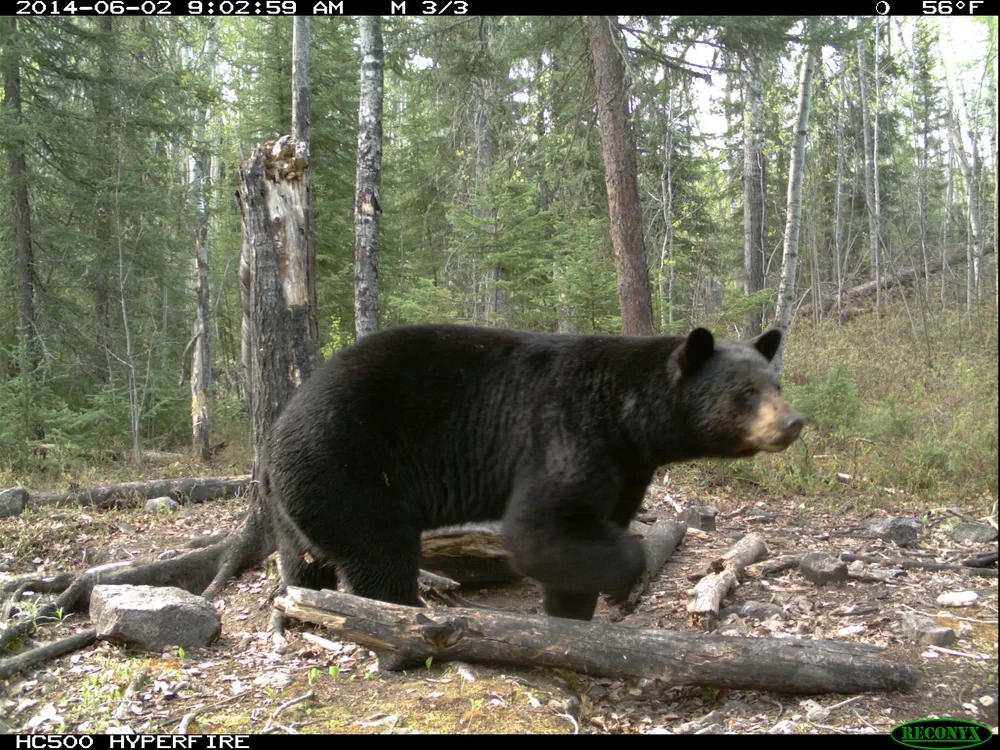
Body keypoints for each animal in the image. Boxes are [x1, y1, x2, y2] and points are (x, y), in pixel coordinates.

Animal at [263, 324, 802, 622]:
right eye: (746, 392)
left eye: (775, 383)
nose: (793, 422)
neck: (627, 418)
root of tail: (275, 432)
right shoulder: (566, 428)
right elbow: (541, 529)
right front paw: (623, 583)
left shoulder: (626, 468)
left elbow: (587, 534)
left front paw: (573, 611)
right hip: (350, 467)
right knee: (380, 555)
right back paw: (400, 620)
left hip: (299, 503)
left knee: (303, 559)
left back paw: (303, 603)